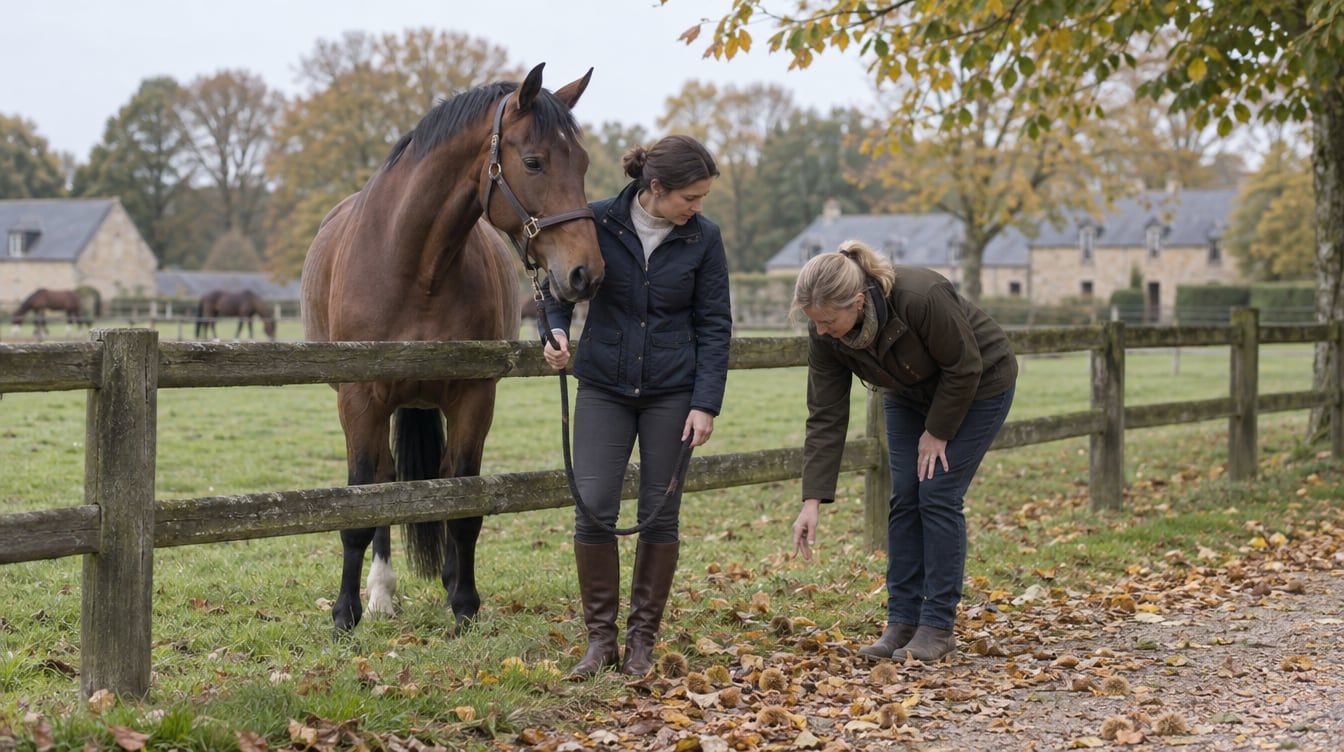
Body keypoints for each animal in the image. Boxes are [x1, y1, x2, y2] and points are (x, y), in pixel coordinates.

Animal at [301, 63, 604, 633]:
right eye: (534, 161)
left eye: (583, 163)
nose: (586, 273)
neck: (416, 266)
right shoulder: (359, 398)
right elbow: (359, 507)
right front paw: (345, 612)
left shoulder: (473, 398)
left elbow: (464, 503)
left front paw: (463, 602)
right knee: (385, 483)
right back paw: (381, 591)